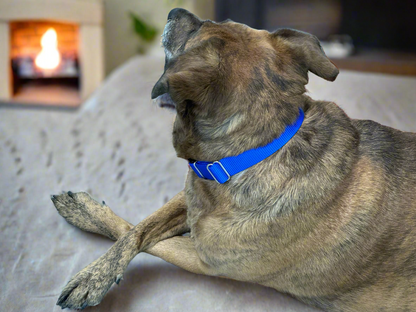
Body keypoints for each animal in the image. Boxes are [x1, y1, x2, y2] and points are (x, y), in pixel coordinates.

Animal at [52, 7, 416, 312]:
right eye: (219, 20)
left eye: (190, 38)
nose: (174, 10)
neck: (261, 150)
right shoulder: (192, 195)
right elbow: (140, 227)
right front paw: (88, 230)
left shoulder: (205, 259)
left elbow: (141, 234)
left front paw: (91, 274)